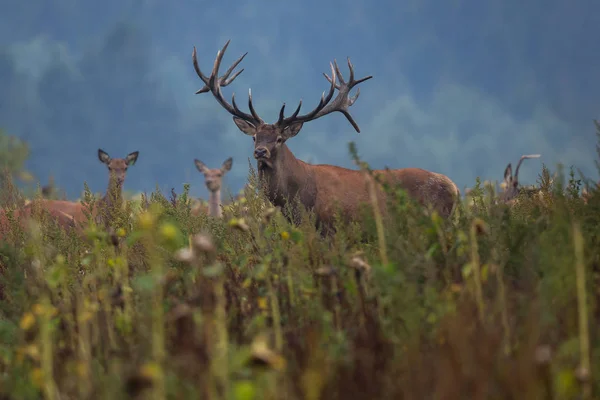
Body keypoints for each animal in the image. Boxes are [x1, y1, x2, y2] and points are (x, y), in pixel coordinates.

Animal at [192, 39, 460, 234]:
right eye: (254, 137)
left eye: (279, 139)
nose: (260, 152)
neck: (295, 200)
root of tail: (454, 188)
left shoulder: (330, 227)